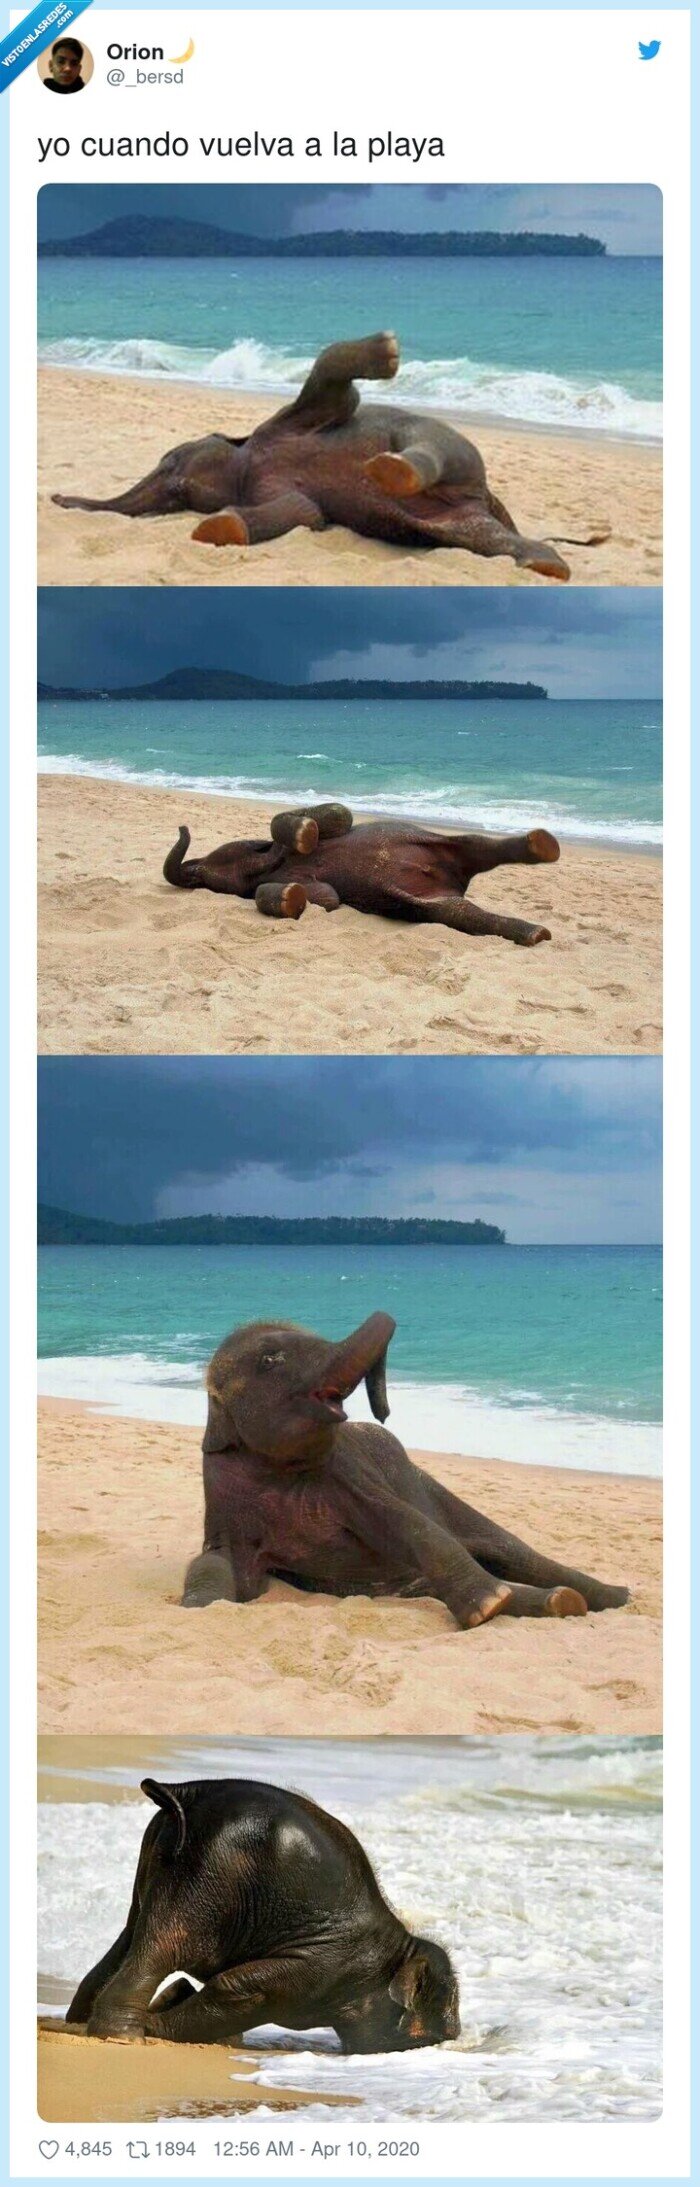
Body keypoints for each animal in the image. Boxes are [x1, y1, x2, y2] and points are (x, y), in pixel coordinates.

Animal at [52, 332, 608, 580]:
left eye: (170, 457)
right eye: (174, 500)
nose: (56, 499)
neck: (248, 456)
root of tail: (491, 497)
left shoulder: (291, 419)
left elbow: (339, 395)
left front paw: (386, 352)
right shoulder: (276, 488)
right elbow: (303, 513)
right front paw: (219, 528)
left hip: (452, 448)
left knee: (425, 441)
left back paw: (389, 468)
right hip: (458, 516)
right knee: (479, 536)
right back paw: (545, 563)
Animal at [66, 1774, 460, 2053]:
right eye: (441, 2032)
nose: (455, 2035)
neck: (400, 1947)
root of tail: (188, 1791)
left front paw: (177, 2005)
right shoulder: (324, 1967)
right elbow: (242, 1990)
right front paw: (157, 2022)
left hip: (162, 1855)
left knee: (131, 1932)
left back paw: (79, 2023)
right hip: (209, 1872)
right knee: (166, 1944)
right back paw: (125, 2036)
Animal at [164, 799, 561, 949]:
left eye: (204, 875)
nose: (182, 827)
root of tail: (455, 882)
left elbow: (341, 814)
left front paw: (305, 832)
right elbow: (325, 898)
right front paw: (295, 895)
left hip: (431, 840)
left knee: (476, 844)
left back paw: (542, 845)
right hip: (431, 901)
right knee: (460, 911)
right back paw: (536, 933)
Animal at [182, 1311, 629, 1629]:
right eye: (270, 1359)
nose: (383, 1413)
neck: (277, 1469)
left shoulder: (350, 1475)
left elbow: (405, 1522)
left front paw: (487, 1606)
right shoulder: (221, 1495)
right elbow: (217, 1561)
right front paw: (201, 1606)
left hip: (434, 1488)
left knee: (515, 1553)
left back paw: (611, 1597)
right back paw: (560, 1601)